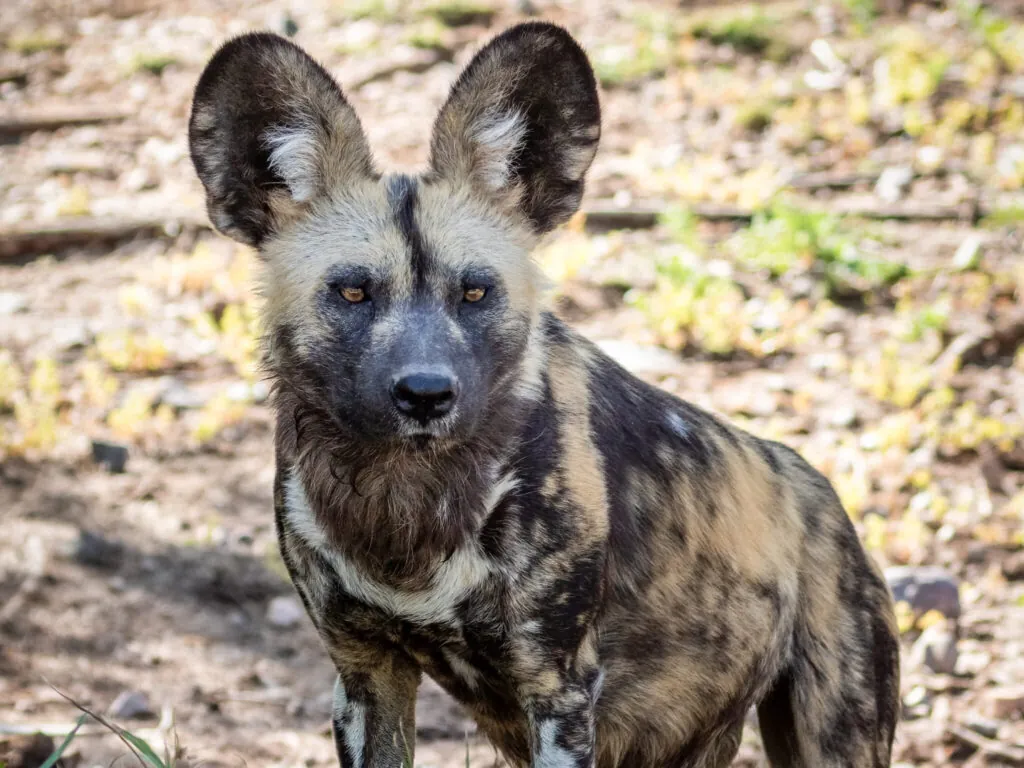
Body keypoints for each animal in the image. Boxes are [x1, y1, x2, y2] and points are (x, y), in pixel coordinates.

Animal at [190, 20, 897, 765]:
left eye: (475, 292)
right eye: (353, 292)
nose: (426, 393)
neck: (409, 509)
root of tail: (826, 497)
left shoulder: (560, 694)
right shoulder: (365, 675)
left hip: (832, 732)